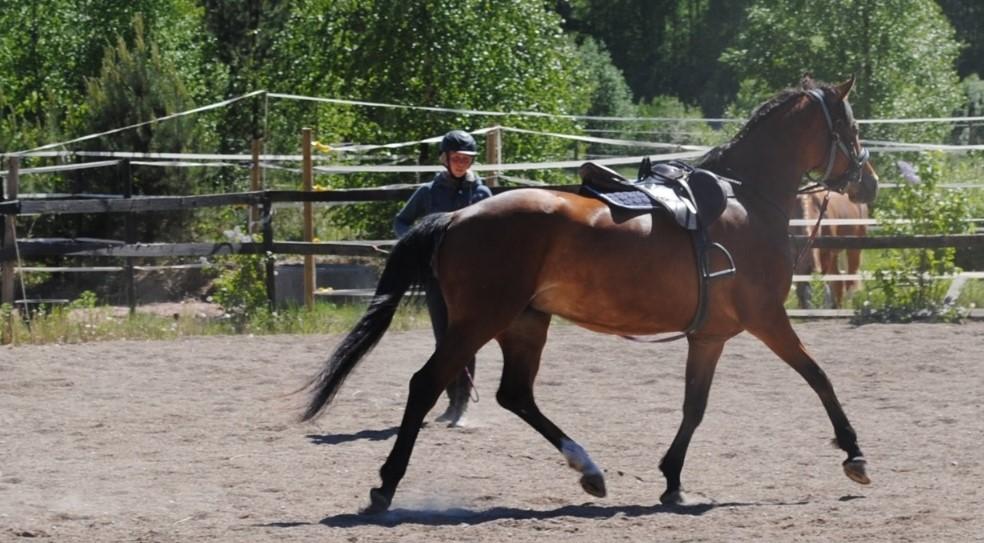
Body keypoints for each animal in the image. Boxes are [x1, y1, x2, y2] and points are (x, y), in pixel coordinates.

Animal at [300, 76, 876, 516]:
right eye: (850, 127)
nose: (867, 182)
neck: (746, 199)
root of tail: (457, 217)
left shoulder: (709, 336)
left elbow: (694, 406)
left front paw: (672, 480)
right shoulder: (767, 317)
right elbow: (818, 377)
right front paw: (854, 454)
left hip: (524, 323)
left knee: (516, 395)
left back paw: (589, 469)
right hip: (479, 323)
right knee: (427, 385)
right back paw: (385, 486)